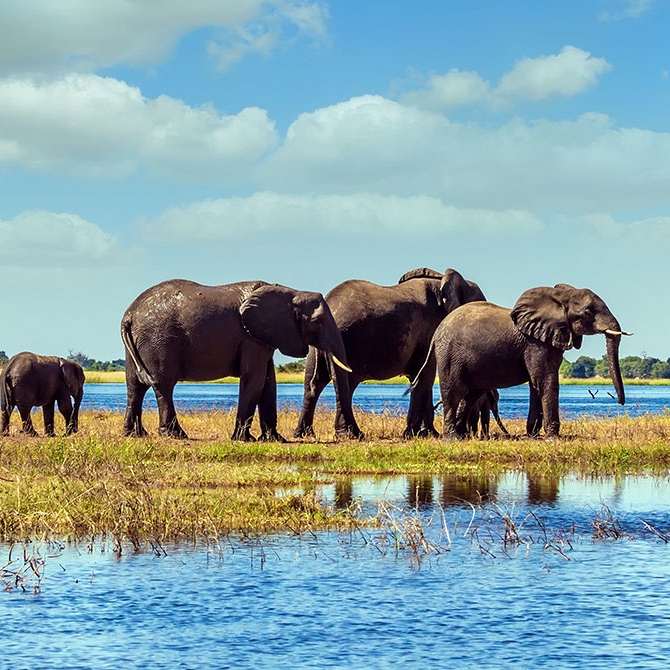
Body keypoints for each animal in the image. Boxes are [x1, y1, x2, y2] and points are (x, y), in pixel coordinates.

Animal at [121, 278, 352, 440]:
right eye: (318, 322)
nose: (349, 435)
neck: (291, 293)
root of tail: (128, 315)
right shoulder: (250, 337)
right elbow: (255, 379)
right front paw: (244, 439)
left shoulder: (262, 337)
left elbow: (268, 382)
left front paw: (275, 439)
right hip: (159, 341)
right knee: (163, 385)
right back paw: (175, 435)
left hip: (140, 344)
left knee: (135, 386)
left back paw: (134, 435)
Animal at [294, 268, 488, 440]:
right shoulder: (430, 330)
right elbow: (425, 376)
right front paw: (415, 434)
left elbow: (420, 377)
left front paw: (426, 434)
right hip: (353, 339)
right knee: (347, 384)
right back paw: (352, 435)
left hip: (318, 344)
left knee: (313, 384)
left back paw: (304, 434)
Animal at [412, 284, 632, 440]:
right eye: (588, 311)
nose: (621, 403)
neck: (559, 297)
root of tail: (437, 331)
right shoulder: (536, 343)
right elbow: (545, 381)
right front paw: (553, 438)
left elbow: (537, 384)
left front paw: (534, 436)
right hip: (449, 355)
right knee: (454, 391)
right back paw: (453, 438)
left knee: (472, 394)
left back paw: (463, 435)